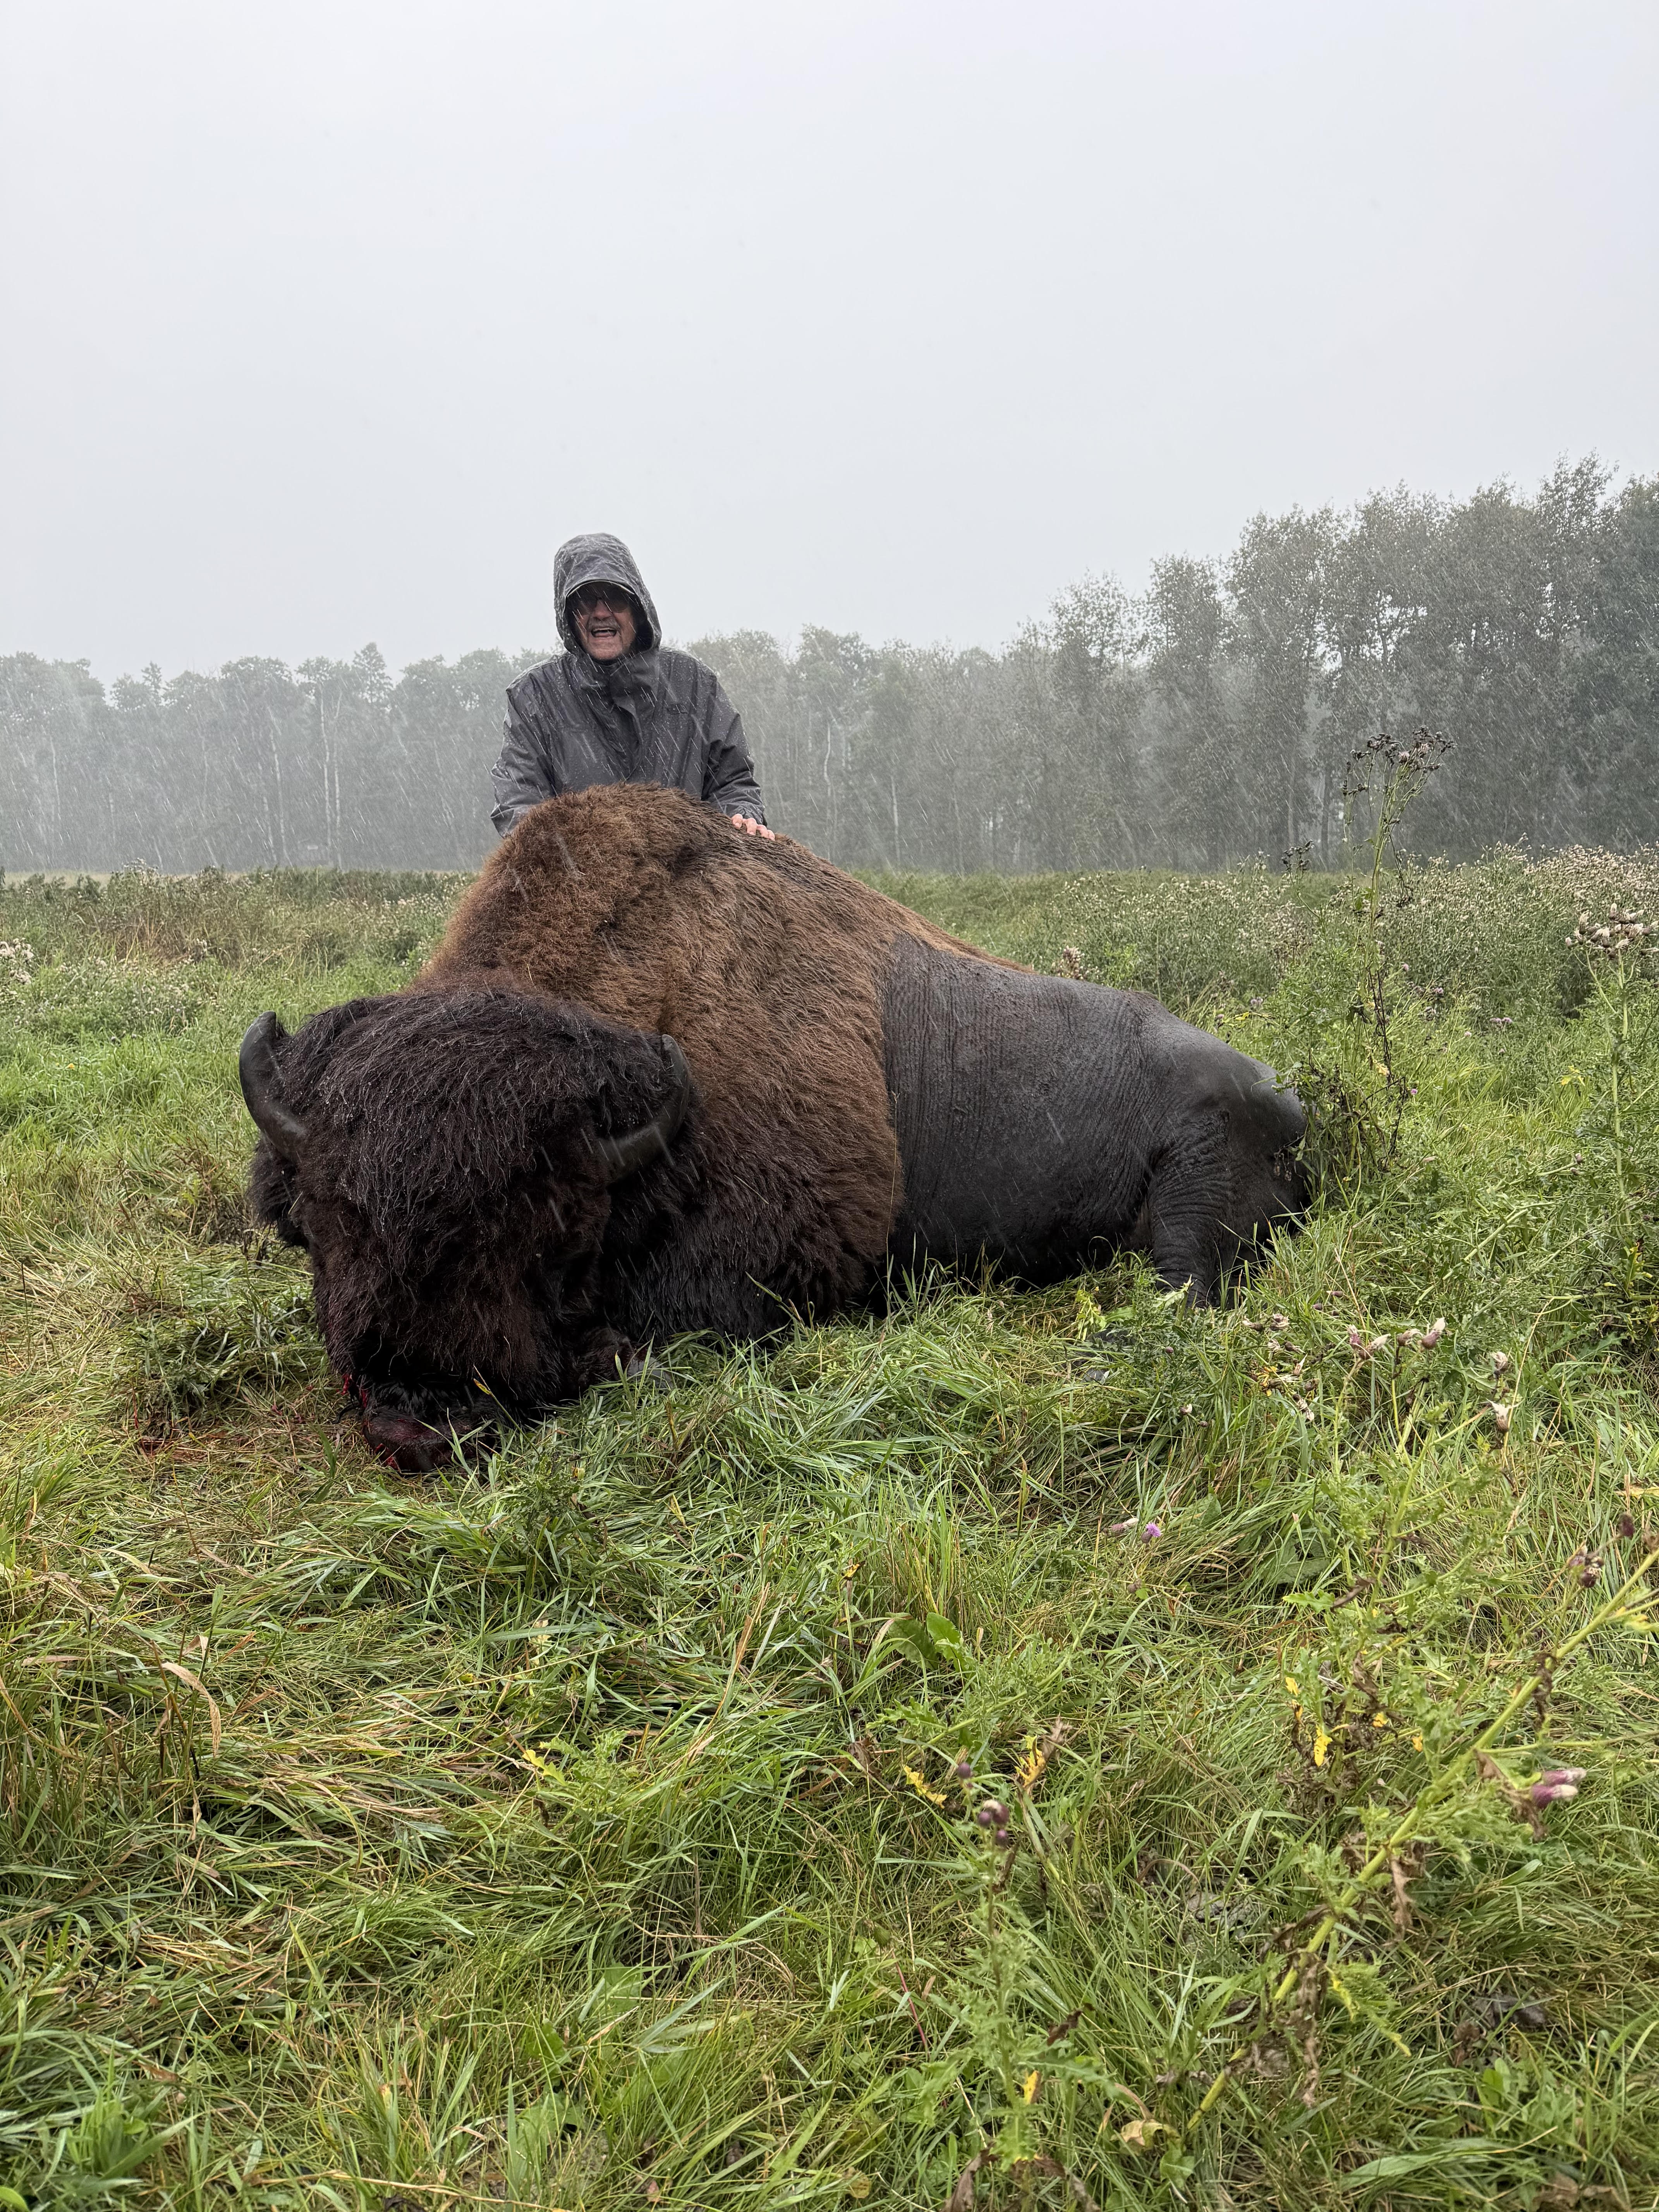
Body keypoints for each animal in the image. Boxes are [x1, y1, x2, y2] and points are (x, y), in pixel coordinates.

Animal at [241, 785, 1304, 1469]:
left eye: (549, 1231)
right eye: (327, 1221)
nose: (418, 1421)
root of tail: (1288, 1091)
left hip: (1189, 1207)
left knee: (1183, 1294)